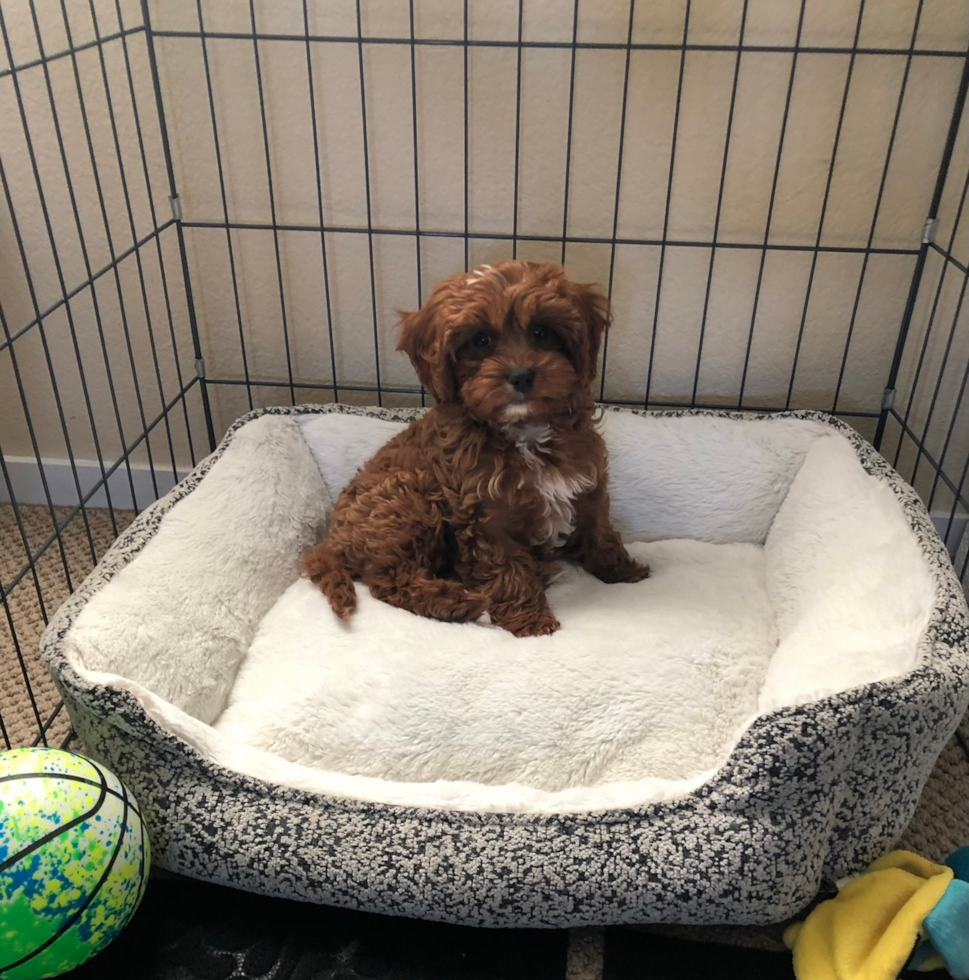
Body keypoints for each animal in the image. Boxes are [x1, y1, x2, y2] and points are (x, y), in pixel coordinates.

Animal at [302, 258, 652, 636]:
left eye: (541, 332)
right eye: (481, 340)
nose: (521, 375)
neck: (525, 431)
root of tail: (332, 540)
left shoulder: (587, 483)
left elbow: (599, 531)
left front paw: (624, 572)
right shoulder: (486, 515)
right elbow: (507, 570)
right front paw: (532, 622)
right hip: (408, 496)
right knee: (388, 580)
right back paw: (455, 601)